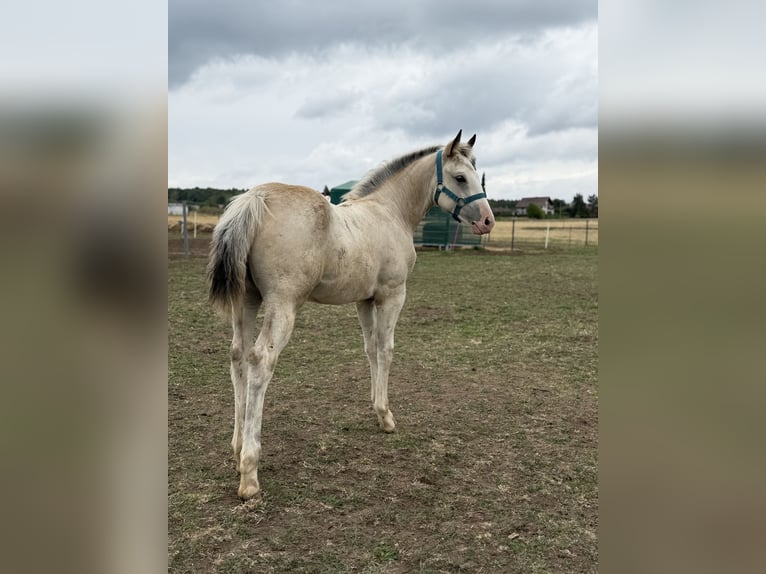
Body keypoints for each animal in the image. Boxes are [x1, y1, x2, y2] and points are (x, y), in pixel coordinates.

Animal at [207, 130, 495, 499]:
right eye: (460, 177)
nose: (487, 221)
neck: (390, 211)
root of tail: (255, 198)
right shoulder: (392, 295)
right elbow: (386, 350)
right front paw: (386, 417)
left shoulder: (364, 300)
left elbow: (370, 349)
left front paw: (375, 408)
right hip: (282, 304)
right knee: (260, 361)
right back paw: (249, 472)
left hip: (246, 302)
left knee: (238, 358)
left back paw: (236, 448)